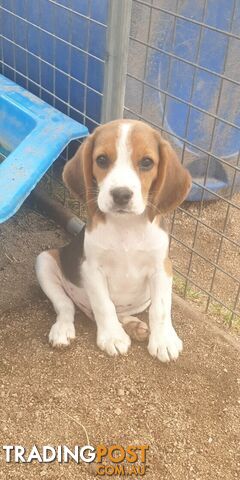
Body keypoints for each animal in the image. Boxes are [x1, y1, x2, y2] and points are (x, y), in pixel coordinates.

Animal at [36, 119, 191, 360]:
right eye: (101, 160)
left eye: (147, 162)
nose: (121, 194)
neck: (125, 226)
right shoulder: (92, 269)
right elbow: (104, 305)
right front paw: (112, 337)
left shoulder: (162, 268)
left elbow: (161, 308)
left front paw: (164, 341)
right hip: (44, 261)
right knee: (66, 306)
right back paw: (63, 329)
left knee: (121, 312)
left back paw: (133, 326)